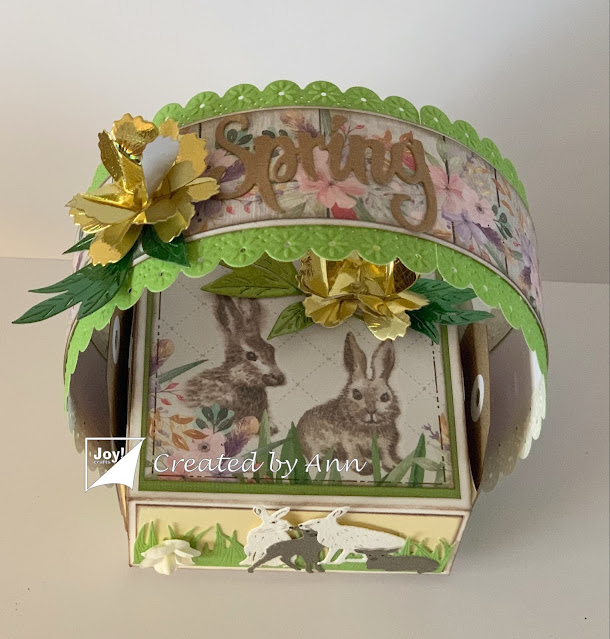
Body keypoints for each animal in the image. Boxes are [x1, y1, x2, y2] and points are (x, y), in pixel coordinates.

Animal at [297, 331, 401, 475]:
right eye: (357, 395)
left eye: (385, 397)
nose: (371, 411)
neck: (368, 428)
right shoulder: (349, 441)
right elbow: (355, 454)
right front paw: (365, 468)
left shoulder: (385, 442)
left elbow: (386, 454)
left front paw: (393, 466)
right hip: (311, 441)